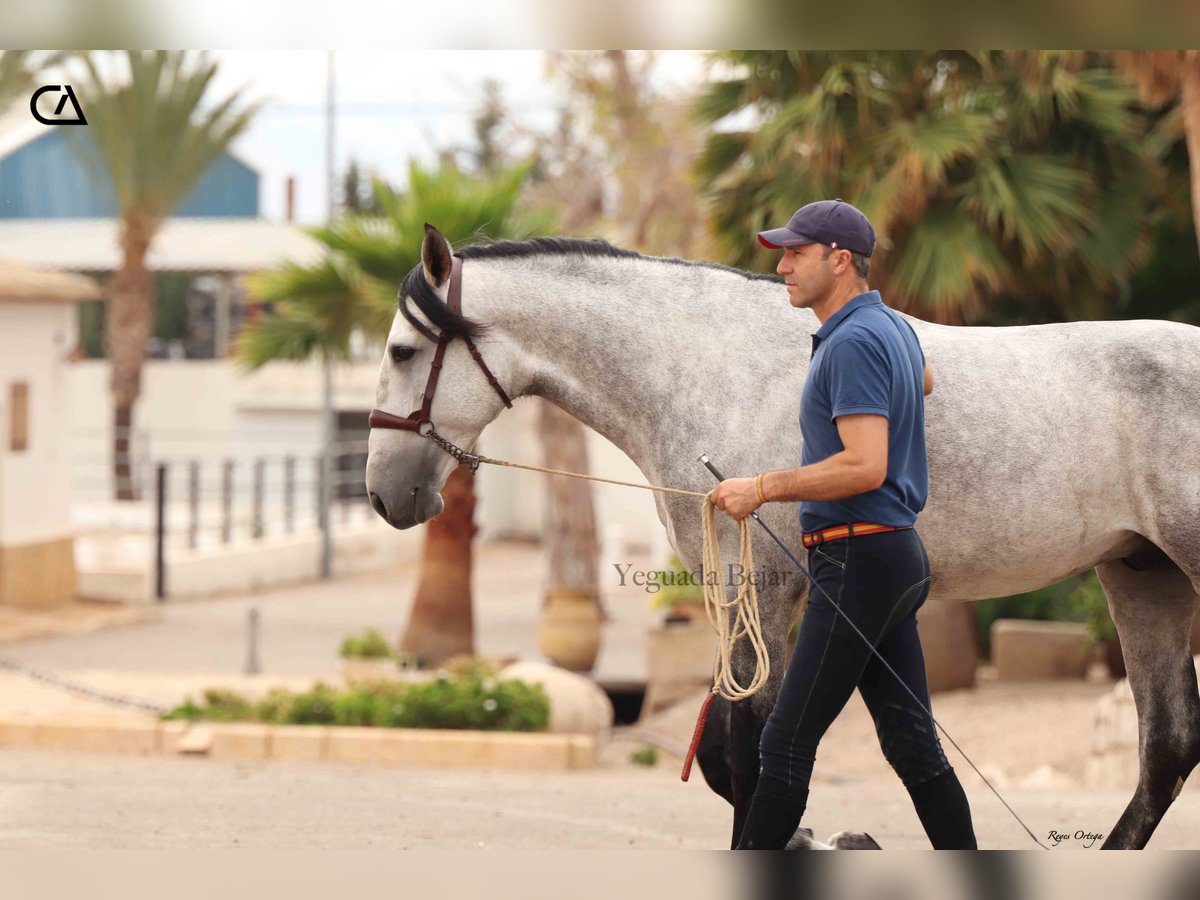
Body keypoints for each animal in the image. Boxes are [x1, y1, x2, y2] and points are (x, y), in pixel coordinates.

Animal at [362, 225, 1200, 854]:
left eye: (402, 352)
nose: (383, 493)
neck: (709, 368)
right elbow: (734, 760)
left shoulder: (763, 590)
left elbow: (750, 753)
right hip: (1142, 576)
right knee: (1168, 746)